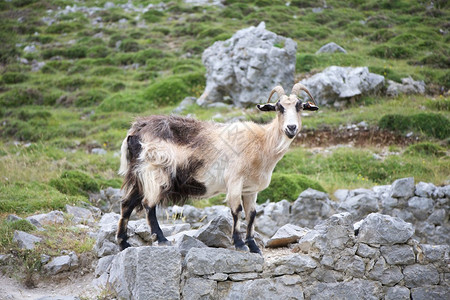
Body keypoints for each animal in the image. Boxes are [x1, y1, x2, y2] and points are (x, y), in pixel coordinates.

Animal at [116, 82, 320, 253]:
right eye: (279, 107)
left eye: (300, 106)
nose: (291, 128)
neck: (262, 142)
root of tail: (136, 130)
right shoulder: (235, 180)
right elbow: (237, 211)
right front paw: (239, 244)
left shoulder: (251, 188)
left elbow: (251, 214)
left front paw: (253, 246)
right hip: (154, 172)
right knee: (148, 205)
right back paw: (161, 239)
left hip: (139, 174)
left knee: (126, 204)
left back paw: (123, 242)